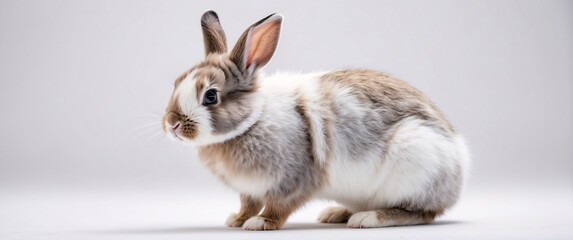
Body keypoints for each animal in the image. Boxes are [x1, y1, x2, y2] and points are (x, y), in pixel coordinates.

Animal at [161, 10, 470, 231]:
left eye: (211, 96)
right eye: (176, 82)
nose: (172, 124)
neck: (252, 120)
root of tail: (459, 169)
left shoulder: (291, 181)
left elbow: (277, 207)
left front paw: (259, 223)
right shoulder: (249, 191)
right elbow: (247, 204)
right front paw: (236, 220)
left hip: (415, 162)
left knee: (420, 213)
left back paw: (367, 218)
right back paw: (336, 213)